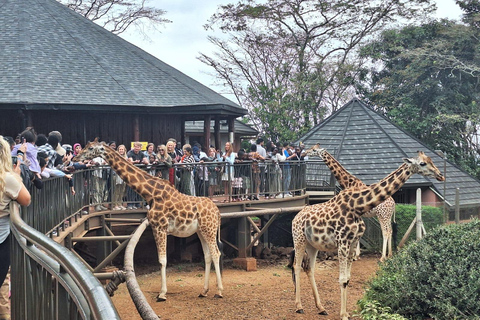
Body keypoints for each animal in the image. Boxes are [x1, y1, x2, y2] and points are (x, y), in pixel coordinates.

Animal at [74, 139, 224, 300]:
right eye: (85, 146)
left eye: (90, 148)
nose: (76, 158)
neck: (150, 193)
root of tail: (217, 212)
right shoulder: (156, 227)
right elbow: (162, 260)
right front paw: (163, 292)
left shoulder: (159, 227)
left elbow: (162, 260)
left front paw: (162, 294)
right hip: (201, 231)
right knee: (208, 255)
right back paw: (204, 291)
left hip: (209, 230)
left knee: (216, 253)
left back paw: (219, 291)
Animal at [288, 151, 442, 318]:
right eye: (422, 163)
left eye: (431, 160)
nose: (440, 175)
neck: (357, 206)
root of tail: (295, 218)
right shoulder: (342, 242)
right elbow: (342, 279)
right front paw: (343, 315)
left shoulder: (353, 240)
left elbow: (347, 279)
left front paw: (346, 312)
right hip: (299, 239)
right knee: (296, 265)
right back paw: (298, 306)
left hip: (313, 244)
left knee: (309, 268)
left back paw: (321, 307)